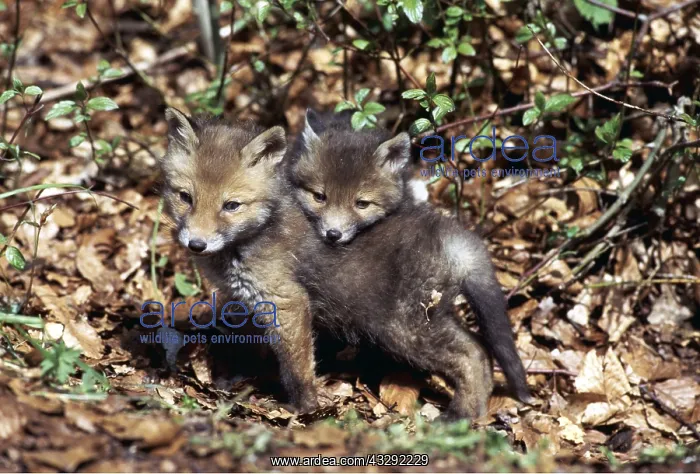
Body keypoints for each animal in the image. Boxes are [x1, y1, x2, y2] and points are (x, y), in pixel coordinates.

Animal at [157, 108, 318, 412]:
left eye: (231, 205)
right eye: (186, 197)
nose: (196, 244)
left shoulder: (285, 300)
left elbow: (297, 365)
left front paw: (307, 406)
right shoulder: (243, 297)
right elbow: (247, 344)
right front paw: (236, 377)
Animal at [286, 111, 533, 419]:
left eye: (361, 204)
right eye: (319, 197)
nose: (333, 234)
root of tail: (455, 236)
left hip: (406, 328)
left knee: (473, 354)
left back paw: (459, 417)